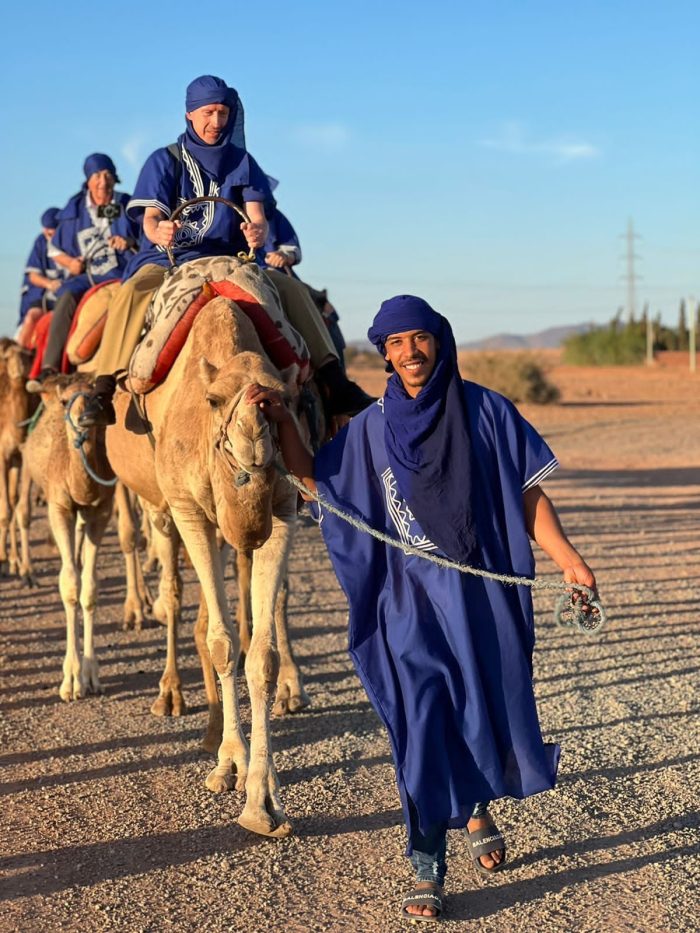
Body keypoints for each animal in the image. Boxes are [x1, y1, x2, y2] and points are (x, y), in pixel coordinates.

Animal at [16, 372, 148, 700]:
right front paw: (71, 682)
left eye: (100, 395)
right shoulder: (59, 507)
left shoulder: (99, 510)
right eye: (65, 401)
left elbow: (89, 588)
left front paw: (90, 676)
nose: (86, 417)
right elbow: (69, 586)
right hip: (30, 471)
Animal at [108, 298, 304, 836]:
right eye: (215, 401)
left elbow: (260, 656)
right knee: (177, 595)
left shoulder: (284, 509)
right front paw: (230, 762)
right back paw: (173, 698)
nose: (253, 439)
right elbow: (222, 643)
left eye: (284, 400)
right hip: (160, 506)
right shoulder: (188, 510)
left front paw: (262, 799)